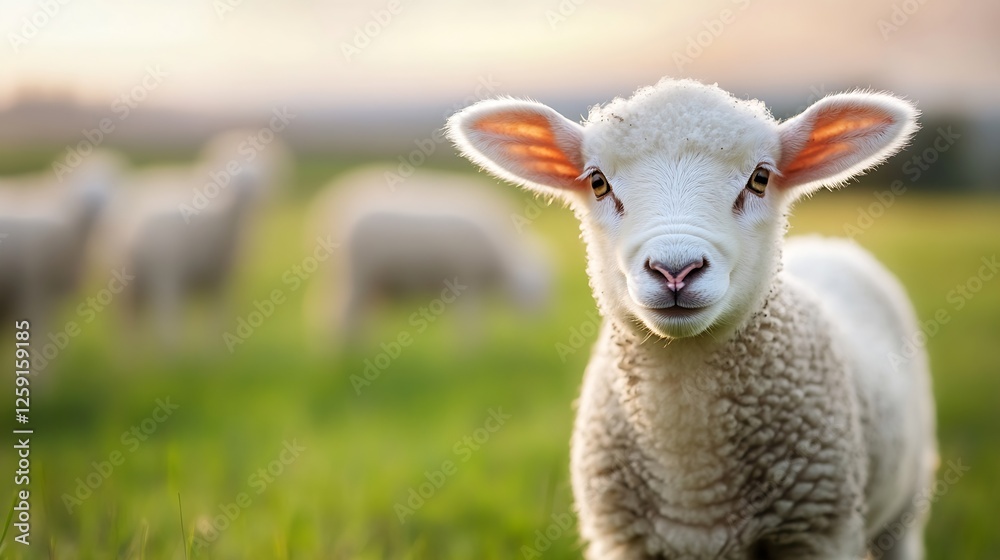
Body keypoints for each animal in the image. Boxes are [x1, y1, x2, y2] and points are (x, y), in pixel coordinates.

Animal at [304, 165, 551, 342]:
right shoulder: (466, 280)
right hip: (358, 273)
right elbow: (469, 323)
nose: (541, 325)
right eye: (533, 290)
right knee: (343, 315)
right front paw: (470, 354)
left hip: (353, 278)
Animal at [447, 78, 938, 559]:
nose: (675, 270)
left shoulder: (817, 533)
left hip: (906, 497)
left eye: (760, 178)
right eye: (599, 183)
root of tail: (826, 243)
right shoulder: (621, 540)